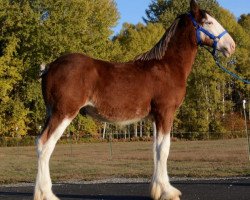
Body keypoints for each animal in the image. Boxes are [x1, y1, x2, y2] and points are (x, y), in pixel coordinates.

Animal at [34, 0, 235, 199]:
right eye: (208, 22)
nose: (231, 46)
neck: (167, 66)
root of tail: (50, 67)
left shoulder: (155, 117)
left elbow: (156, 149)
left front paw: (157, 189)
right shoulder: (165, 112)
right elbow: (164, 148)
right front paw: (168, 191)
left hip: (52, 113)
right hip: (63, 113)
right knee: (45, 145)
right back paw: (47, 193)